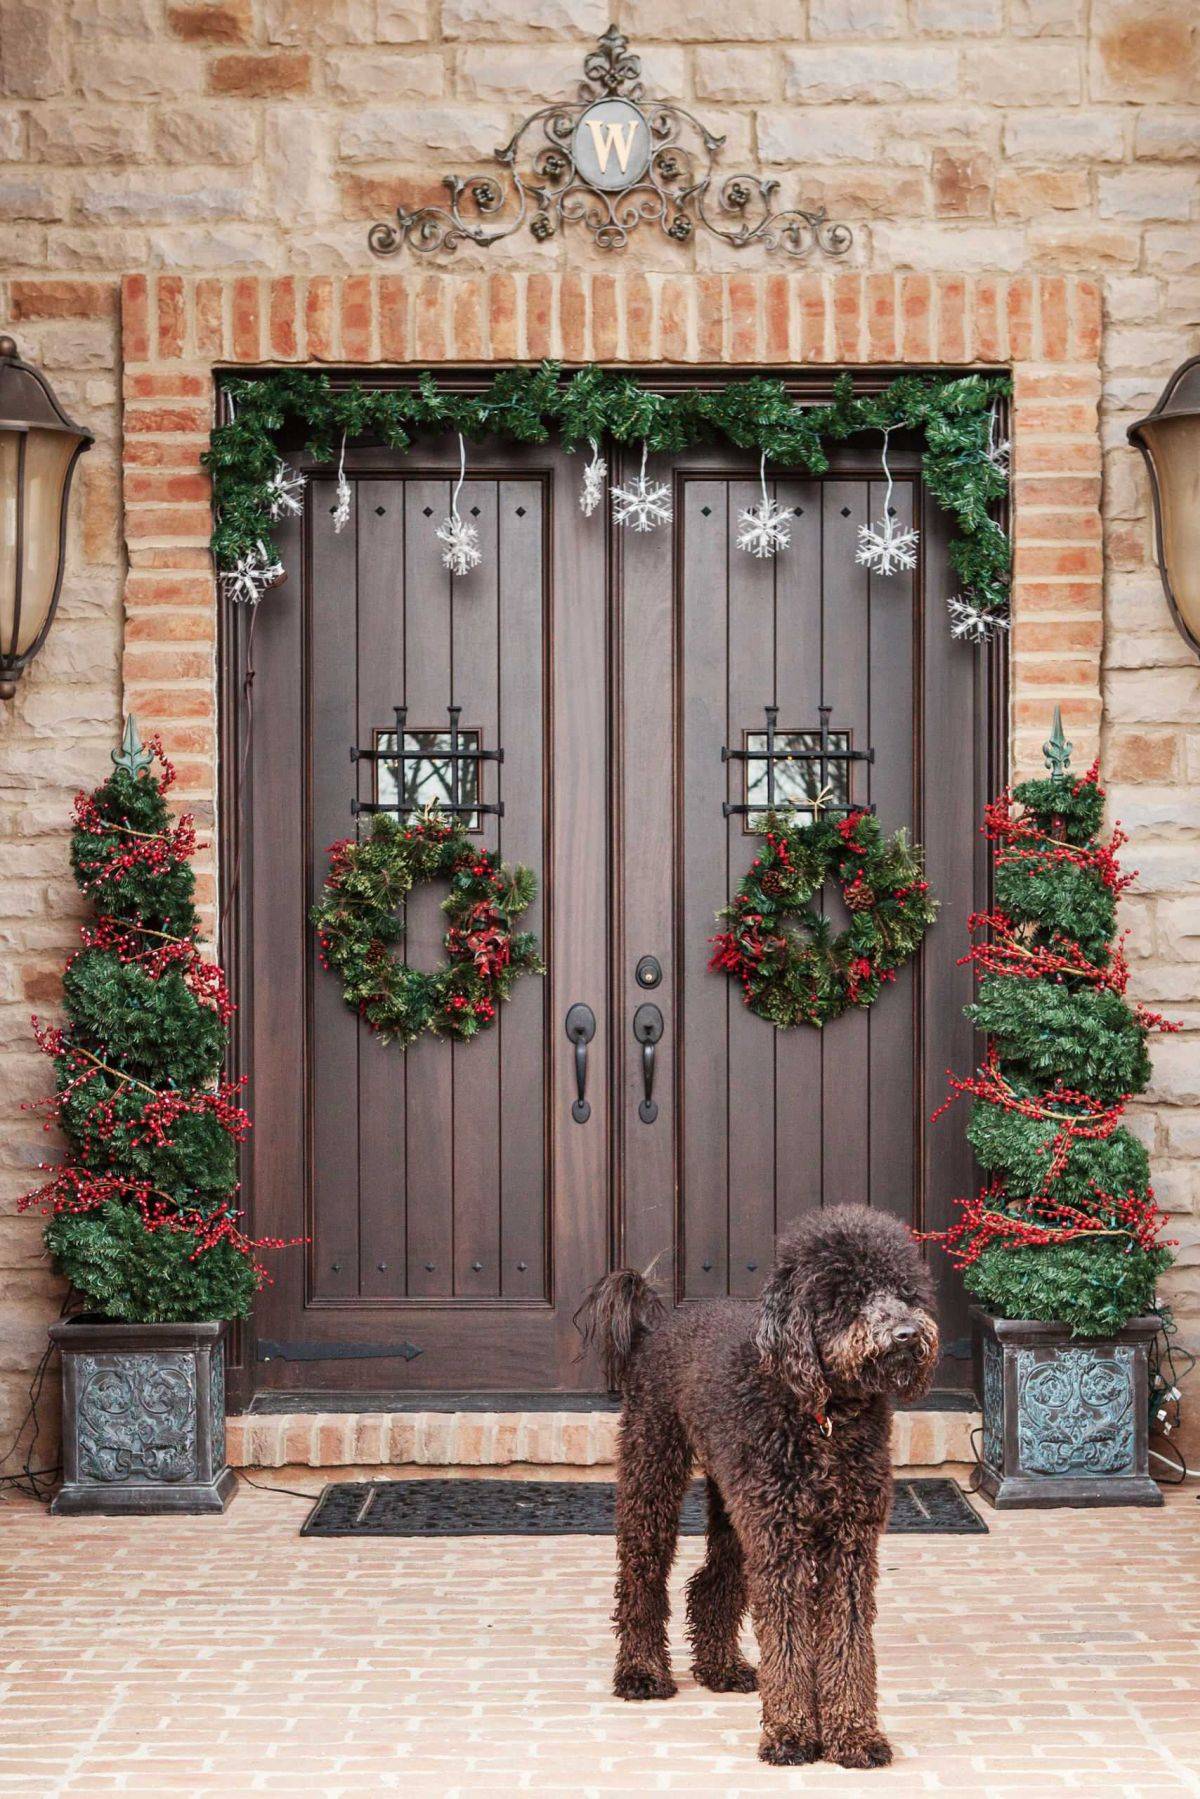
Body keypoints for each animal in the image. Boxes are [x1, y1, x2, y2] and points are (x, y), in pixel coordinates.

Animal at [575, 1201, 942, 1763]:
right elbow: (788, 1638)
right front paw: (791, 1733)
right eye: (849, 1296)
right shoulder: (781, 1541)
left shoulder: (849, 1542)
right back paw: (641, 1672)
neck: (823, 1417)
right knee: (641, 1577)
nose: (906, 1333)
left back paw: (721, 1667)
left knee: (712, 1582)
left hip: (734, 1503)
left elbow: (849, 1640)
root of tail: (657, 1325)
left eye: (905, 1291)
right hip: (652, 1472)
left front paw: (854, 1735)